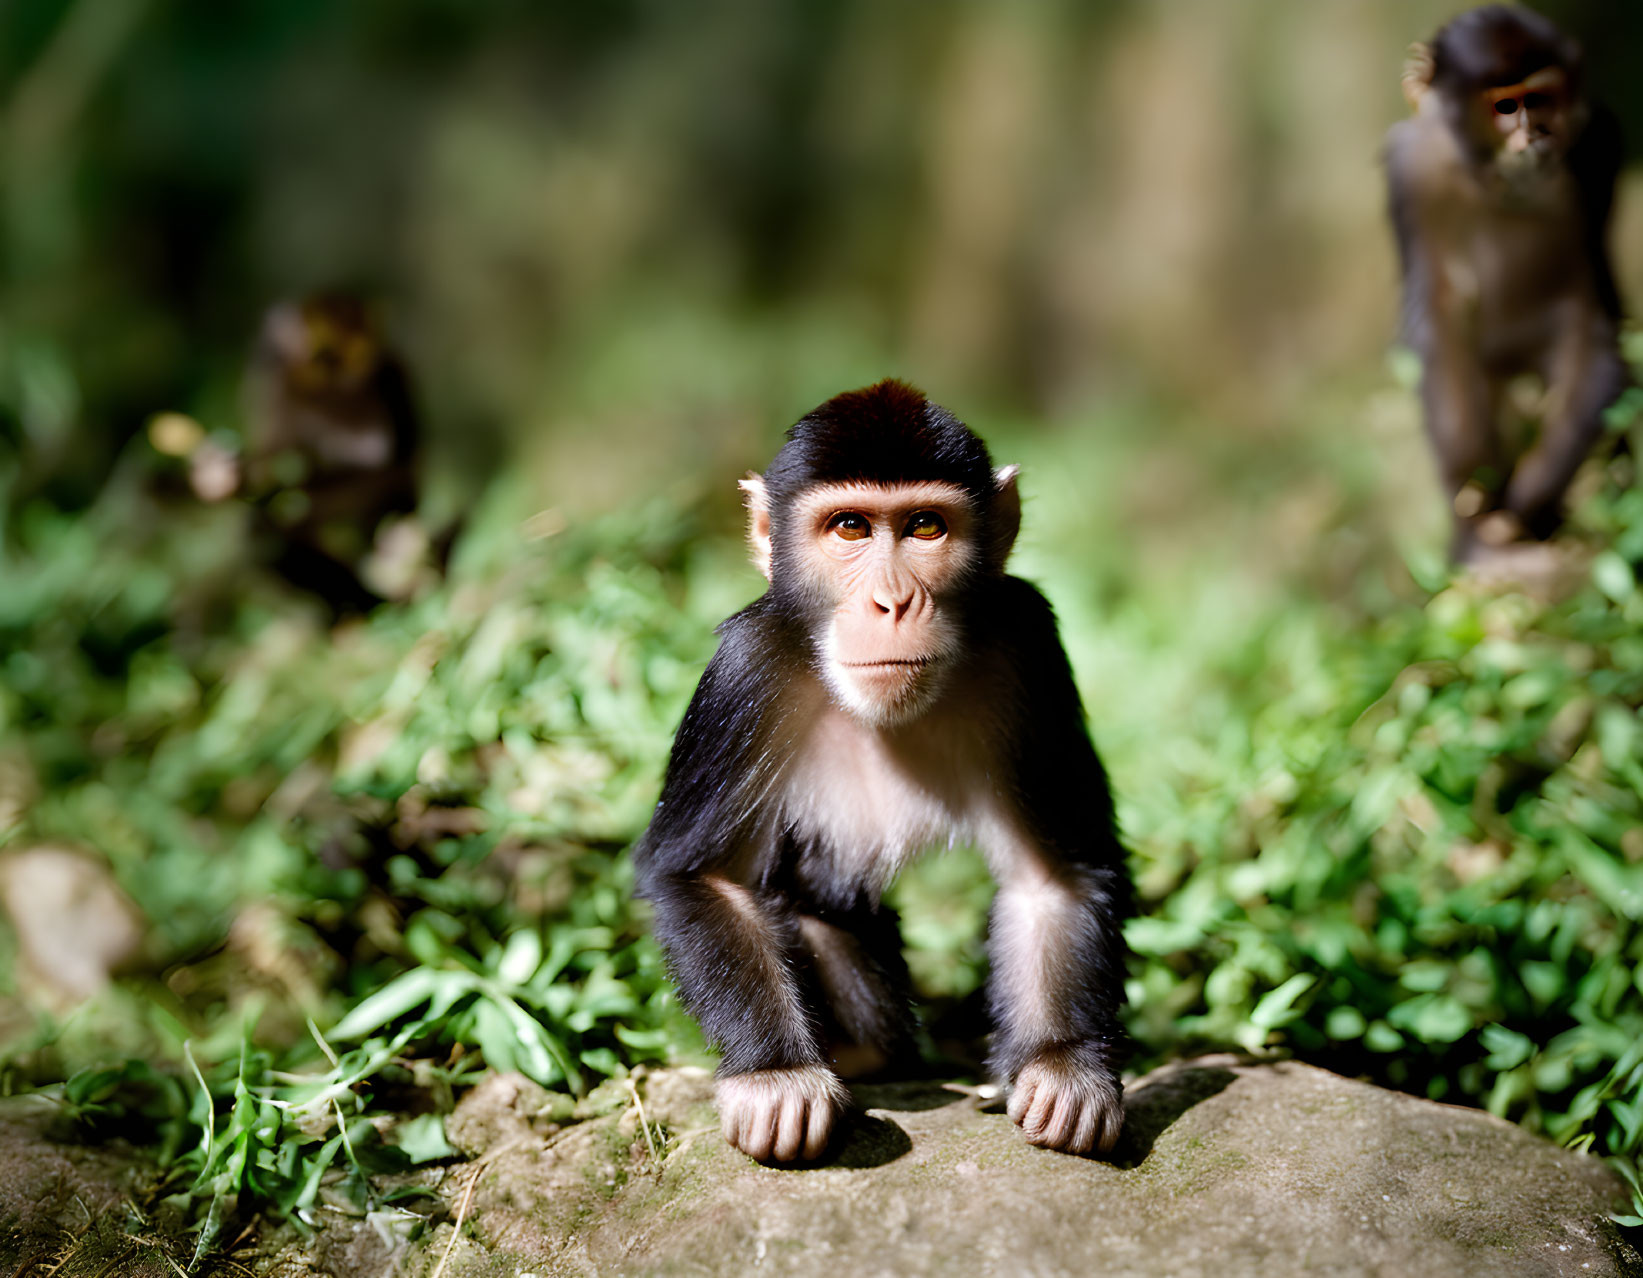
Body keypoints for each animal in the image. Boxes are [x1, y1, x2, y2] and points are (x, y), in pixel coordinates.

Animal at [1386, 4, 1629, 561]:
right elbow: (1441, 317)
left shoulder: (1595, 148)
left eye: (1539, 99)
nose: (1537, 133)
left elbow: (1593, 328)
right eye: (1505, 106)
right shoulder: (1411, 166)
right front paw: (1475, 507)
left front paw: (1526, 502)